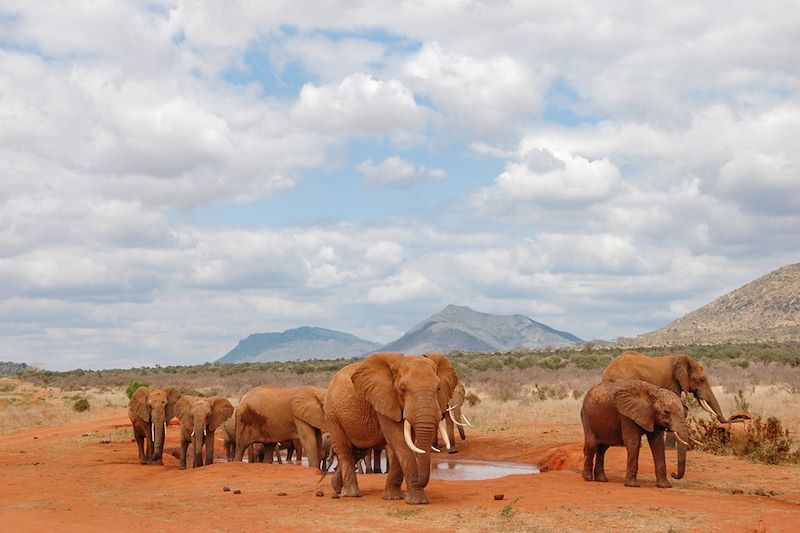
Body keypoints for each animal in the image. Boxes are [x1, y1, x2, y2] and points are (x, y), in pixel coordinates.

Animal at [320, 352, 456, 504]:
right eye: (402, 389)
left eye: (438, 388)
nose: (419, 482)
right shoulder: (384, 399)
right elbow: (399, 441)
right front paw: (417, 501)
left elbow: (403, 442)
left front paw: (393, 497)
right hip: (332, 414)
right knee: (345, 449)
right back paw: (351, 494)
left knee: (359, 450)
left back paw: (336, 487)